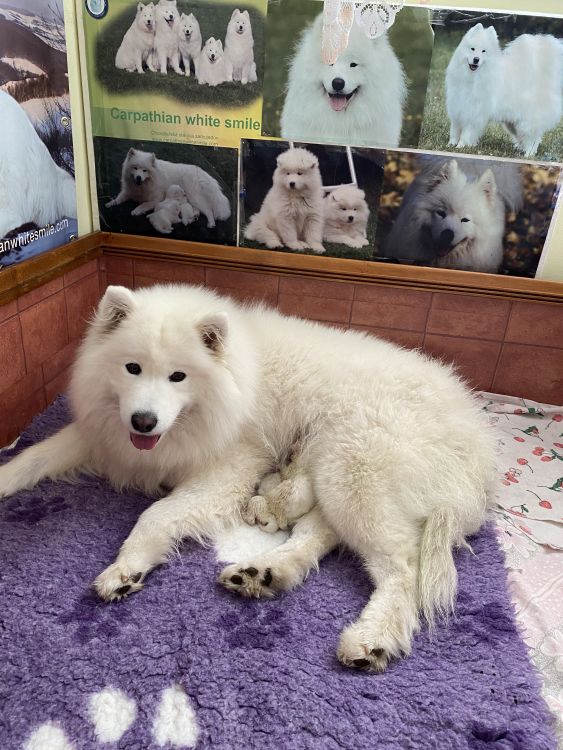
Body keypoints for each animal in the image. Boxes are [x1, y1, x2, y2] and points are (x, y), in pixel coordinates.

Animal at [0, 284, 494, 676]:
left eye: (178, 376)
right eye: (132, 368)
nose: (143, 422)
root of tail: (476, 447)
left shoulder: (228, 472)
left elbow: (156, 514)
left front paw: (126, 568)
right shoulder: (103, 436)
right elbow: (33, 457)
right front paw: (6, 476)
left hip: (351, 470)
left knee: (401, 565)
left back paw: (371, 641)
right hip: (336, 477)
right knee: (321, 534)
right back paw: (264, 573)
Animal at [448, 23, 560, 157]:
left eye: (484, 51)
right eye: (472, 49)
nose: (476, 59)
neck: (472, 78)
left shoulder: (474, 113)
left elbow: (467, 133)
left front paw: (461, 146)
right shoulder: (458, 108)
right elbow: (455, 130)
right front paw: (451, 144)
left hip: (527, 122)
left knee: (533, 138)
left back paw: (528, 154)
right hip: (512, 123)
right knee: (524, 137)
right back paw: (520, 149)